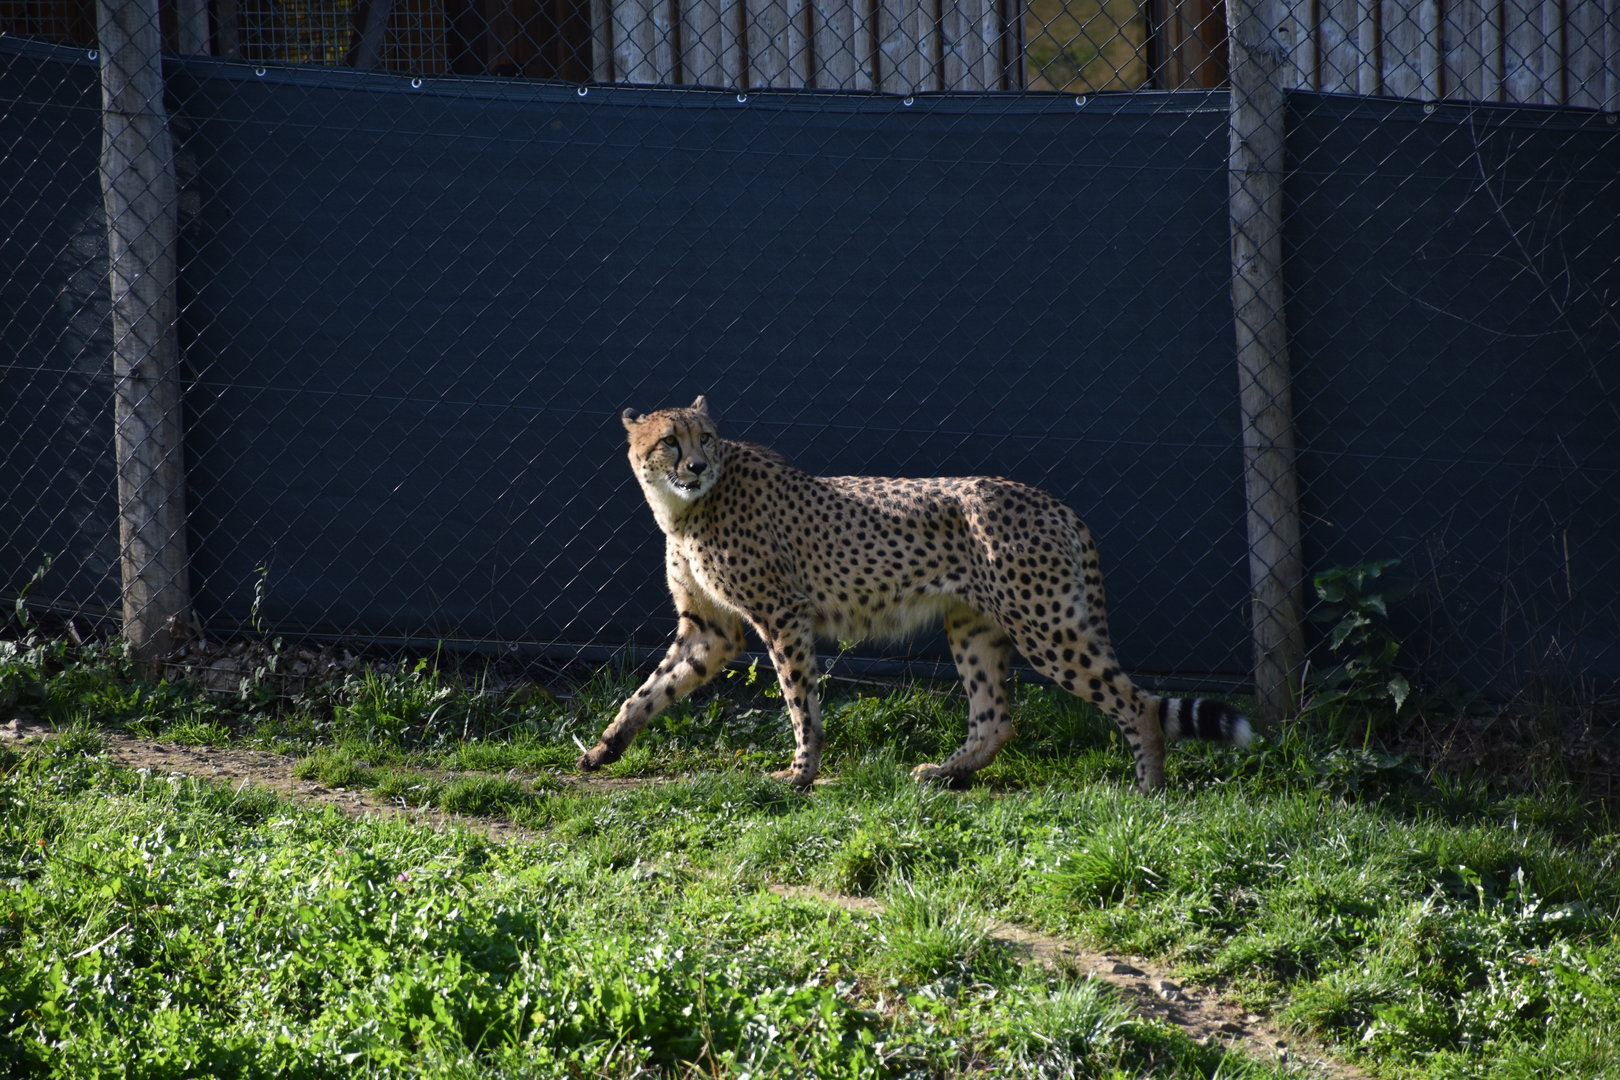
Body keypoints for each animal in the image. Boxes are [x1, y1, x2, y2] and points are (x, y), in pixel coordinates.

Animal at [577, 396, 1251, 792]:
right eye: (670, 440)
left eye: (708, 437)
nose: (695, 467)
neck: (683, 508)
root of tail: (1049, 500)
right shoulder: (711, 631)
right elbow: (650, 690)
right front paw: (605, 748)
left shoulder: (782, 614)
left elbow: (800, 702)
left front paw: (800, 773)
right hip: (975, 625)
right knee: (996, 720)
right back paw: (946, 773)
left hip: (1044, 625)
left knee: (1138, 703)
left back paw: (1148, 790)